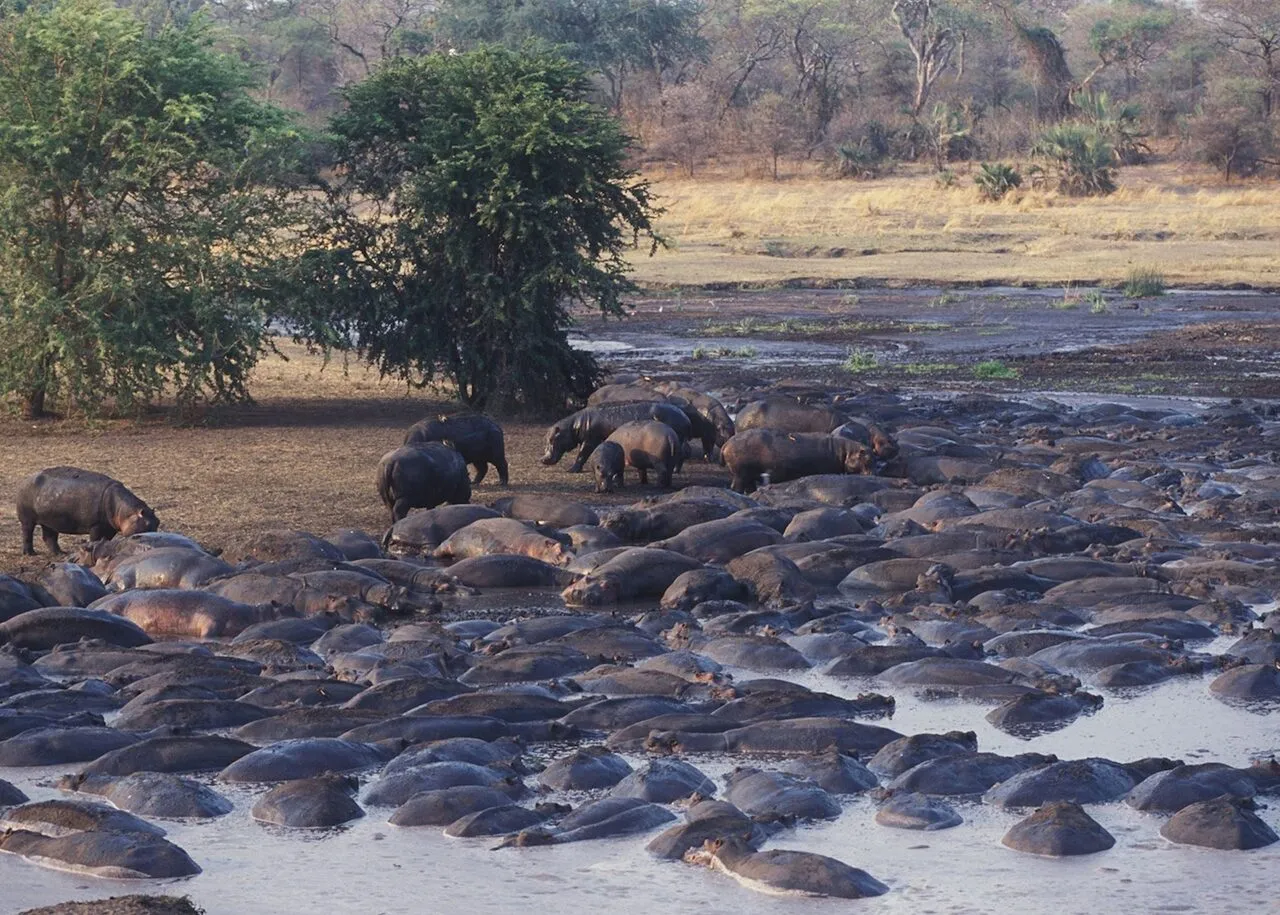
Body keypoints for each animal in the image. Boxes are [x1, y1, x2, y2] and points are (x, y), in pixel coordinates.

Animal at [16, 466, 159, 555]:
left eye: (158, 522)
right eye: (146, 523)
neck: (124, 511)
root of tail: (26, 479)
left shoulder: (109, 527)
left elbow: (106, 539)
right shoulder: (96, 525)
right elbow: (95, 538)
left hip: (50, 521)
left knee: (49, 537)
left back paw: (60, 553)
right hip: (27, 519)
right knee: (27, 534)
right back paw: (30, 553)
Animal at [541, 402, 692, 472]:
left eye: (552, 439)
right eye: (546, 438)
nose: (542, 459)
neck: (573, 425)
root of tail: (686, 417)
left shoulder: (589, 440)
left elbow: (582, 454)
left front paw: (571, 470)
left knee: (680, 455)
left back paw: (674, 470)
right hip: (680, 439)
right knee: (684, 453)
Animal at [722, 429, 873, 494]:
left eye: (873, 456)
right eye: (866, 457)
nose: (872, 474)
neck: (846, 452)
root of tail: (726, 444)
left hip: (747, 475)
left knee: (748, 486)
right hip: (741, 474)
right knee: (736, 486)